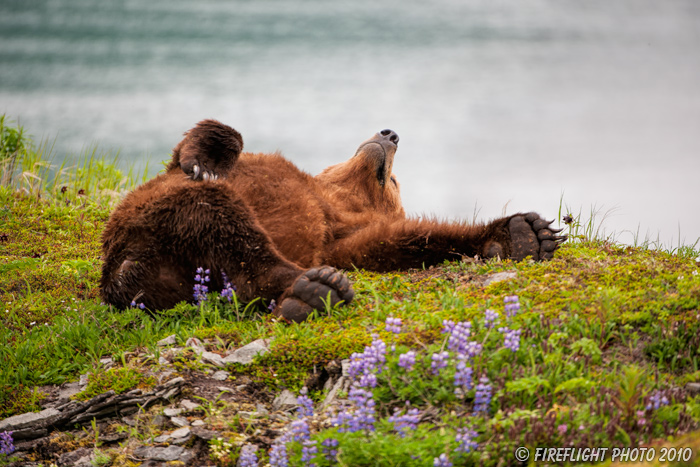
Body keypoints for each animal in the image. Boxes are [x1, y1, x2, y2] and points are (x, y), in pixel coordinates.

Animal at [101, 119, 568, 322]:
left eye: (393, 180)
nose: (390, 134)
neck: (331, 201)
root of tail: (128, 272)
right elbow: (199, 152)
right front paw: (203, 161)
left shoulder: (340, 237)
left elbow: (401, 240)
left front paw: (525, 233)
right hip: (147, 221)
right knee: (216, 212)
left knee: (231, 236)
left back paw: (314, 290)